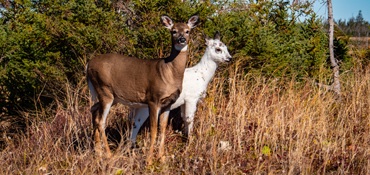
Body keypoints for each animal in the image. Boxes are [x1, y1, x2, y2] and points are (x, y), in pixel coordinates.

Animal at [86, 15, 199, 164]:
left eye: (187, 31)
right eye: (173, 31)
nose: (182, 40)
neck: (169, 72)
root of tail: (88, 65)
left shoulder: (168, 103)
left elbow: (163, 129)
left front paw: (161, 158)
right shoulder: (153, 99)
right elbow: (154, 130)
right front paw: (149, 160)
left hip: (109, 95)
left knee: (93, 110)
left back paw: (98, 152)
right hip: (104, 90)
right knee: (101, 121)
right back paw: (109, 155)